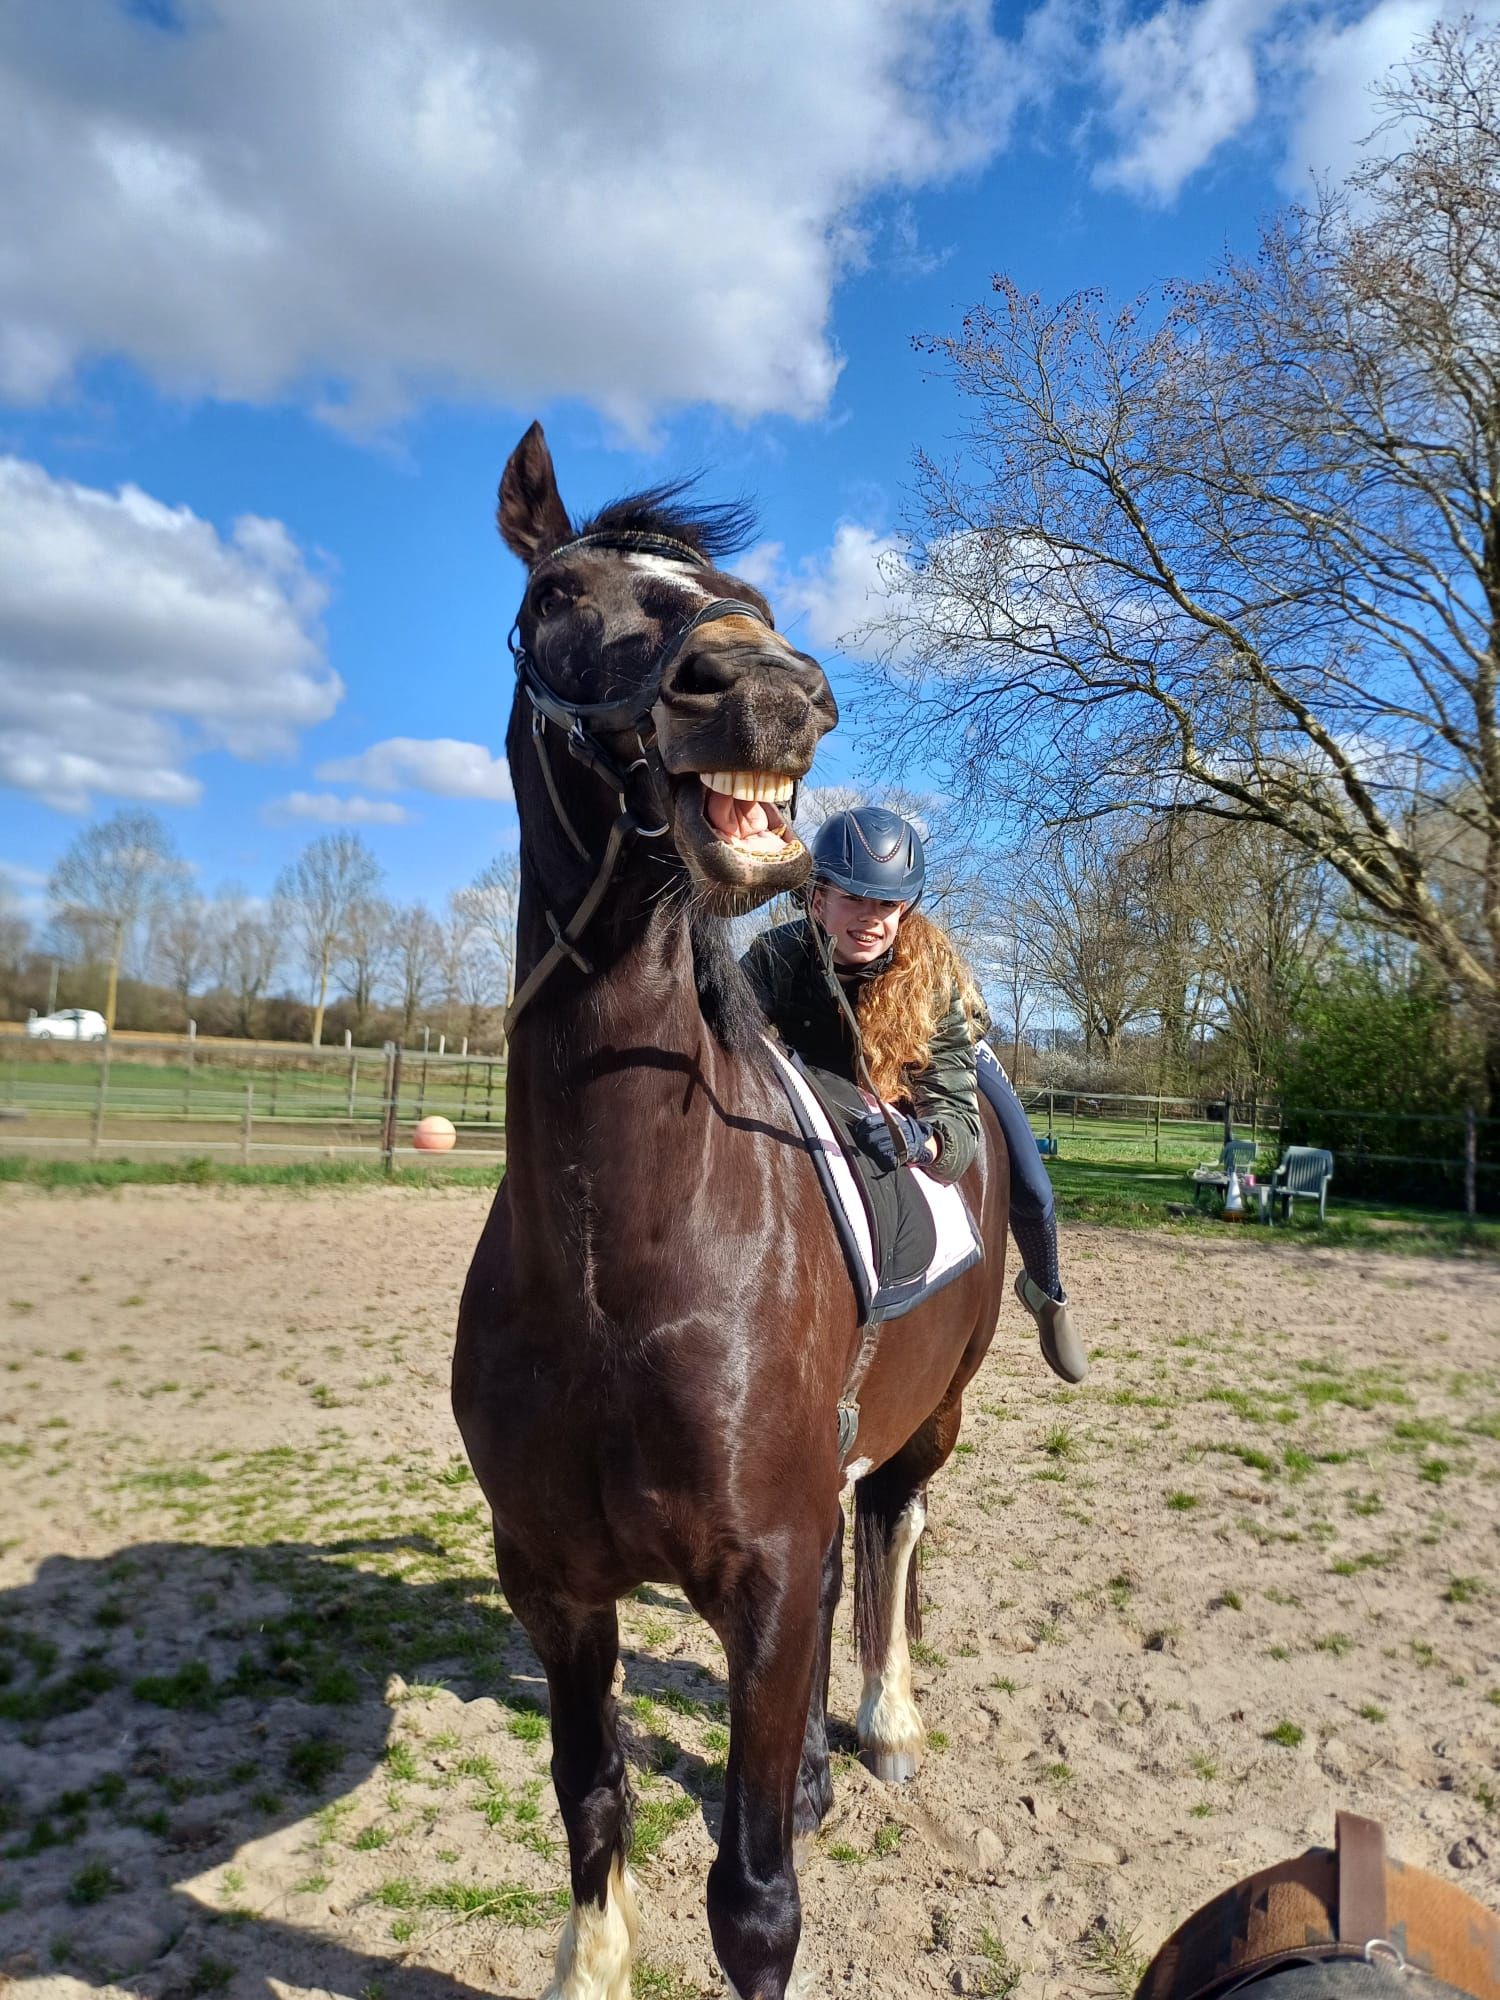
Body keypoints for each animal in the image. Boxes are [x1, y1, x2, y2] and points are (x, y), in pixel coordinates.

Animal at [452, 422, 1010, 2000]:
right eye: (559, 593)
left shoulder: (760, 1570)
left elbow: (755, 1900)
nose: (764, 687)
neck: (620, 1262)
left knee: (893, 1530)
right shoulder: (555, 1584)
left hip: (932, 1419)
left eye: (747, 596)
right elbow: (592, 1800)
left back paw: (884, 1724)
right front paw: (590, 1964)